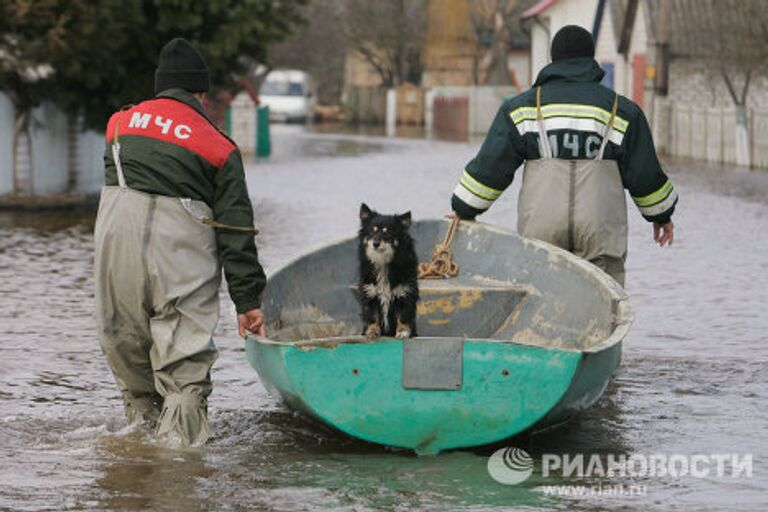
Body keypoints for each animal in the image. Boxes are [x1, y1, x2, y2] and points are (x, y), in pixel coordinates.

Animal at [358, 204, 420, 340]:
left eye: (387, 233)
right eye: (373, 231)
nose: (375, 244)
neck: (383, 263)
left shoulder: (404, 295)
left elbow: (403, 316)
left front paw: (402, 332)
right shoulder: (370, 295)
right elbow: (372, 316)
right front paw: (372, 331)